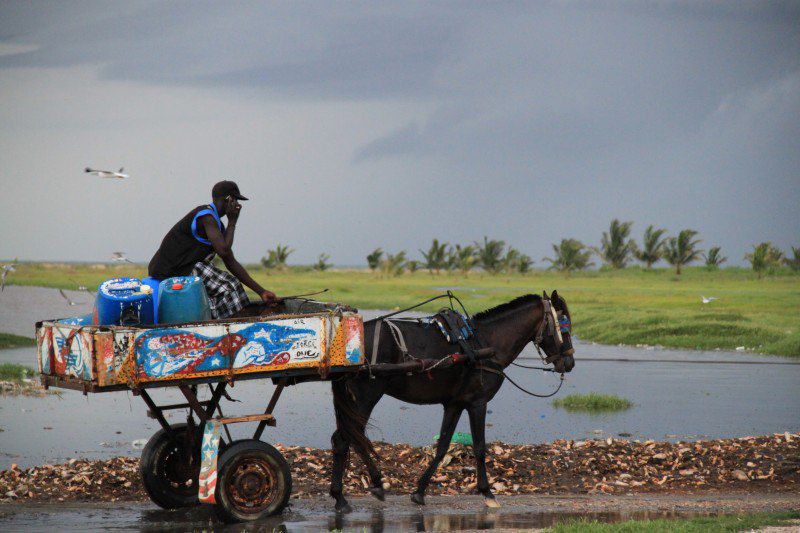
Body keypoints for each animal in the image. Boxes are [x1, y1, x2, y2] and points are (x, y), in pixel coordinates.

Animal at [330, 290, 576, 512]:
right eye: (565, 327)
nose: (569, 363)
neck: (486, 342)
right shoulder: (478, 403)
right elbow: (479, 447)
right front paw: (487, 493)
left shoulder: (455, 404)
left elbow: (442, 446)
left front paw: (419, 492)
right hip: (366, 396)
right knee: (348, 439)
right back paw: (356, 492)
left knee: (346, 438)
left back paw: (347, 493)